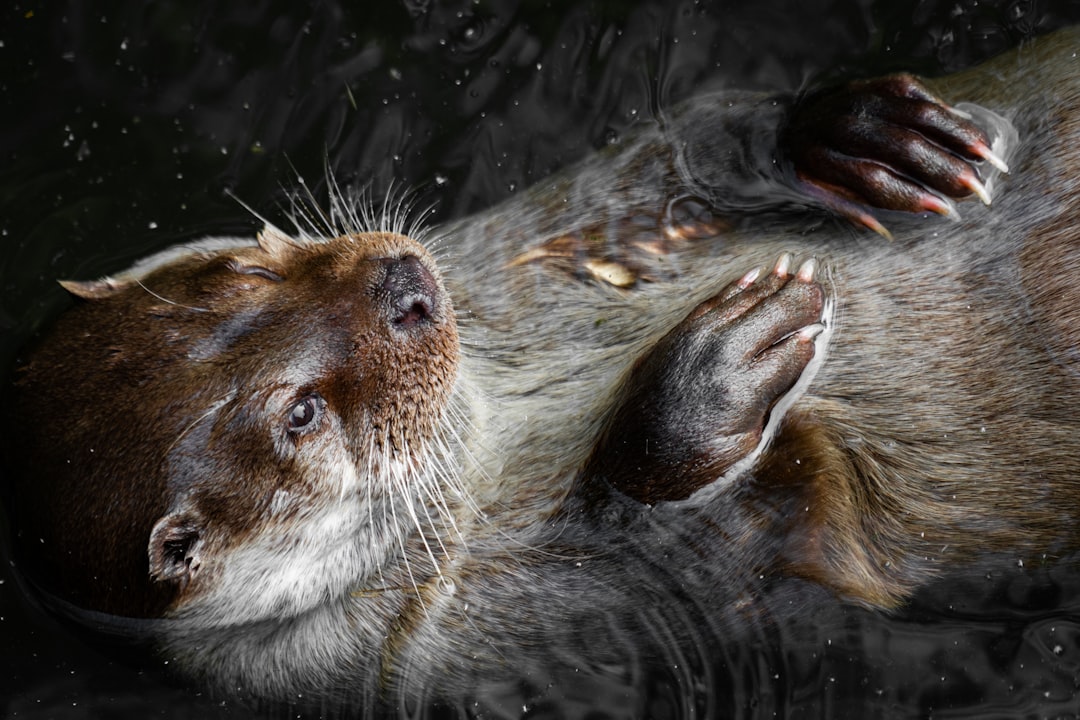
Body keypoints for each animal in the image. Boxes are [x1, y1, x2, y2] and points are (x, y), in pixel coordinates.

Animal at [5, 25, 1080, 714]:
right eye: (299, 415)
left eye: (248, 270)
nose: (404, 286)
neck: (492, 428)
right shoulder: (465, 639)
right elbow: (761, 528)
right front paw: (723, 367)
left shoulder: (508, 244)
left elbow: (652, 169)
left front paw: (848, 133)